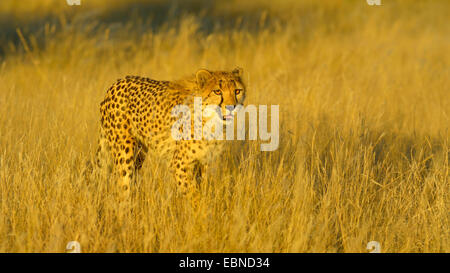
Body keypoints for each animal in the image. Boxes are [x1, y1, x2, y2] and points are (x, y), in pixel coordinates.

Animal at [95, 67, 246, 201]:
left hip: (139, 154)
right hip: (125, 153)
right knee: (121, 188)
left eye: (237, 91)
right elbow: (194, 196)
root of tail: (117, 82)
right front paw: (200, 213)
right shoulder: (179, 164)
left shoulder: (202, 162)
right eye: (217, 91)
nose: (231, 107)